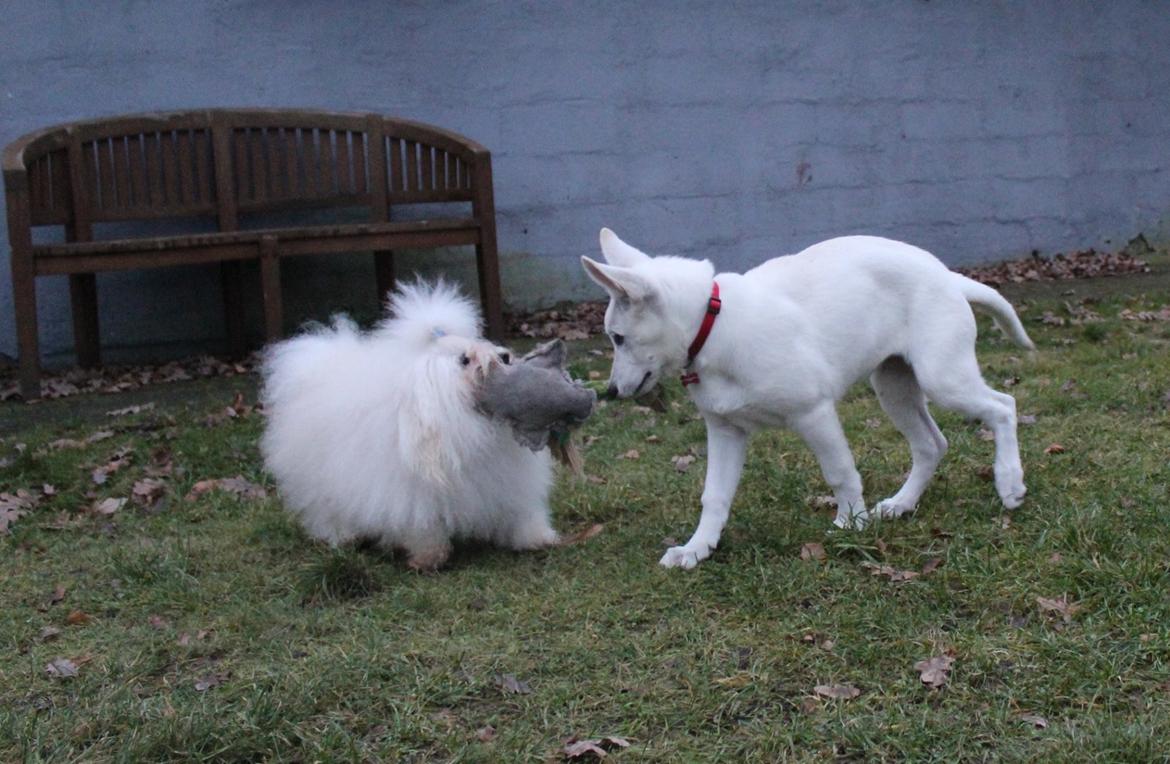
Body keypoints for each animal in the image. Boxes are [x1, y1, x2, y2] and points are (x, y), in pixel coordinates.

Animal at [258, 278, 585, 566]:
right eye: (464, 360)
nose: (504, 356)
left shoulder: (509, 483)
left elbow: (522, 513)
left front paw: (538, 538)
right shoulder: (412, 495)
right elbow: (423, 527)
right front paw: (428, 559)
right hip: (320, 481)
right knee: (326, 509)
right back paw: (344, 536)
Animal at [582, 226, 1034, 566]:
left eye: (617, 337)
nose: (610, 391)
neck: (714, 326)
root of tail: (944, 273)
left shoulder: (813, 413)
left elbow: (840, 473)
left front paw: (851, 525)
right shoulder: (725, 430)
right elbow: (714, 495)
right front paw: (698, 548)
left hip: (942, 378)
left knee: (1004, 406)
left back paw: (1009, 480)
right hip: (894, 387)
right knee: (931, 444)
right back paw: (902, 504)